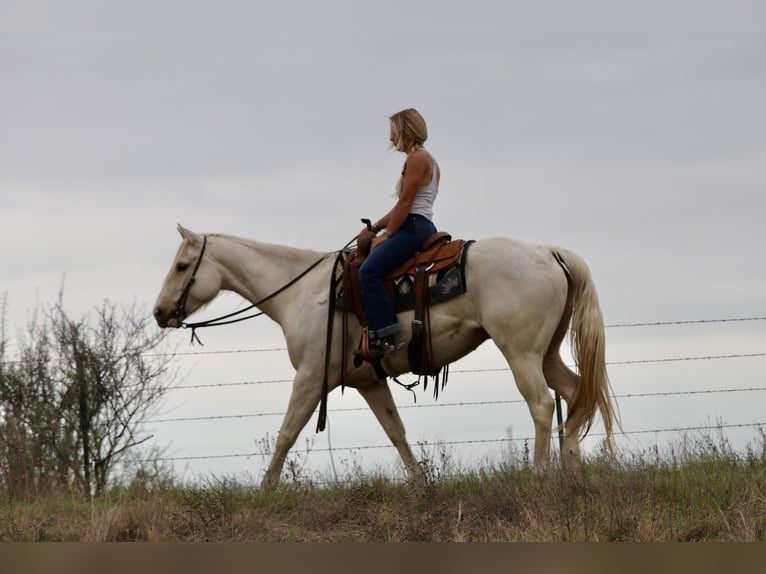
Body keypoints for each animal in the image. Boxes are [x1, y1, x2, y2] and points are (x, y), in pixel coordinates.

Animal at [153, 224, 617, 488]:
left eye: (182, 266)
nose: (159, 312)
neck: (302, 292)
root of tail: (548, 251)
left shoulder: (310, 376)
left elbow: (286, 433)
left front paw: (266, 490)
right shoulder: (369, 381)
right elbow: (397, 432)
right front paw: (420, 485)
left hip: (520, 352)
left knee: (541, 405)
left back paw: (541, 476)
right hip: (547, 353)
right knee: (575, 394)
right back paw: (573, 473)